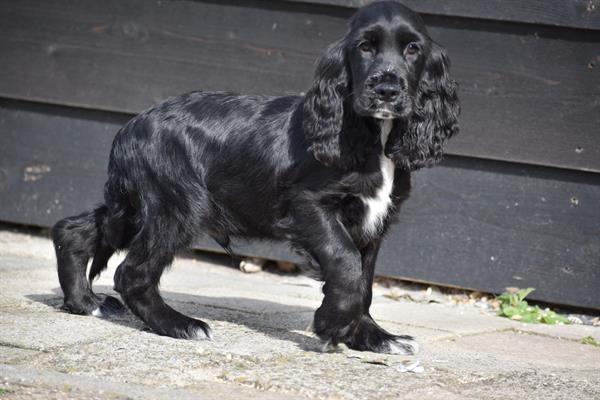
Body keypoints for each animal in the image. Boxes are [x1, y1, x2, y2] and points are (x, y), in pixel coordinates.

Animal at [55, 1, 460, 354]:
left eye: (412, 49)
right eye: (365, 47)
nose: (387, 89)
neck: (371, 135)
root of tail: (129, 127)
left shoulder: (374, 221)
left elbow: (365, 280)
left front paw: (373, 338)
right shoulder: (309, 204)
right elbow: (346, 265)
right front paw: (333, 326)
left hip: (135, 206)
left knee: (74, 229)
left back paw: (85, 302)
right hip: (178, 205)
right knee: (131, 273)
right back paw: (180, 325)